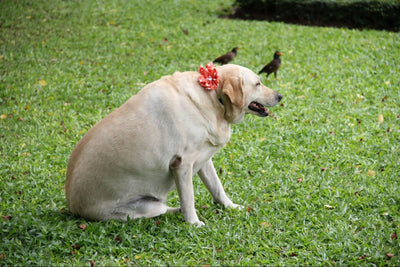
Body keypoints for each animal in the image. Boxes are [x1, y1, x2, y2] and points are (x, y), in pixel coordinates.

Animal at [65, 63, 282, 227]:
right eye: (258, 83)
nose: (280, 96)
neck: (213, 97)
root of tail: (72, 207)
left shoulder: (204, 159)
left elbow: (217, 187)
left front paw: (230, 206)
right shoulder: (182, 164)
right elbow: (189, 198)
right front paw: (193, 223)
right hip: (142, 207)